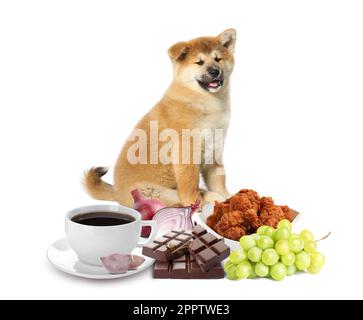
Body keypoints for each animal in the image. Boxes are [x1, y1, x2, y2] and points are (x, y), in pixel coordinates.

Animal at [83, 28, 236, 206]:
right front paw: (195, 204)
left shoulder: (214, 150)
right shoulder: (186, 154)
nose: (215, 71)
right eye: (199, 62)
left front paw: (228, 198)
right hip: (156, 192)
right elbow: (190, 186)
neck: (206, 102)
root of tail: (117, 194)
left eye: (218, 59)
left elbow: (218, 181)